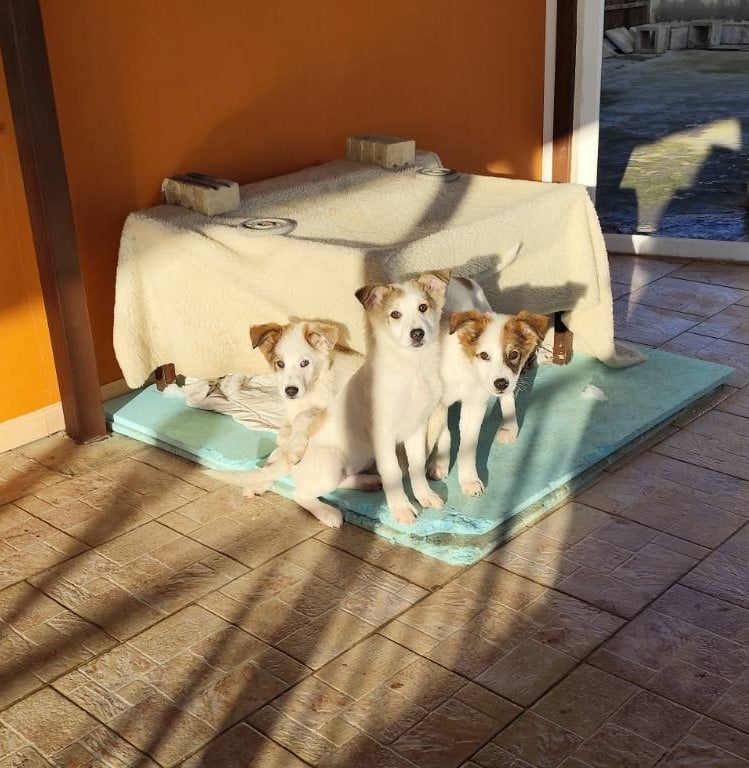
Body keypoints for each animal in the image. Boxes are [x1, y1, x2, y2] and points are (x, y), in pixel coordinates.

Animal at [243, 321, 361, 496]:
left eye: (305, 363)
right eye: (280, 364)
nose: (291, 391)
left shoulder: (324, 409)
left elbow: (302, 417)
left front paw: (296, 448)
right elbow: (283, 438)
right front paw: (259, 481)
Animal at [289, 270, 450, 528]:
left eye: (423, 307)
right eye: (395, 314)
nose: (417, 334)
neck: (412, 370)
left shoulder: (416, 428)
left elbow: (416, 465)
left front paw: (425, 496)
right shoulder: (383, 434)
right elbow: (393, 470)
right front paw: (401, 508)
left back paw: (368, 481)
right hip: (332, 462)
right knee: (300, 493)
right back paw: (328, 513)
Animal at [428, 276, 549, 496]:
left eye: (514, 354)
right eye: (484, 355)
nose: (500, 383)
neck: (467, 370)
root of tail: (462, 278)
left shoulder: (475, 404)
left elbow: (468, 447)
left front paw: (469, 480)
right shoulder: (437, 402)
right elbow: (444, 433)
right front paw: (439, 464)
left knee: (508, 396)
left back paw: (509, 427)